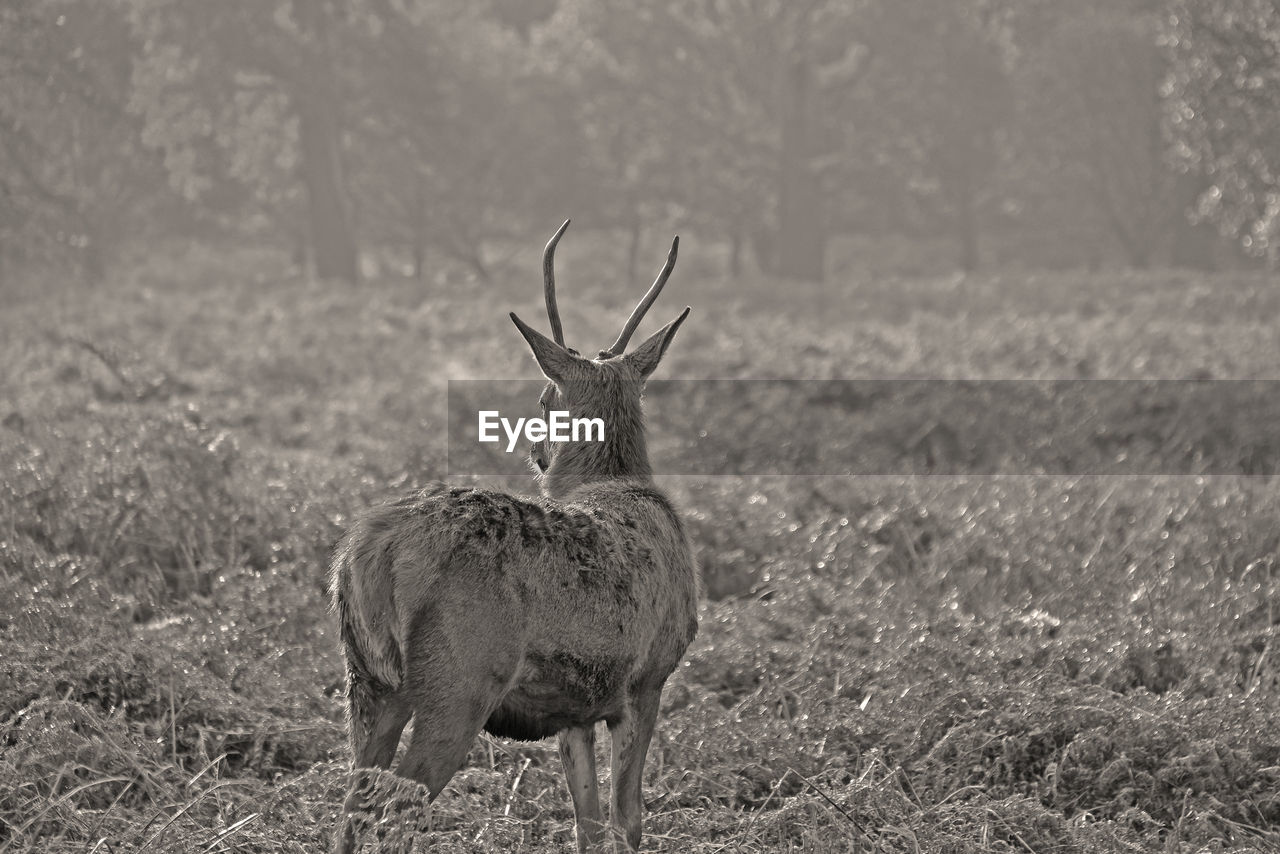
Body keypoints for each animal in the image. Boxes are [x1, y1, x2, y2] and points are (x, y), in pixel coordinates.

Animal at [330, 222, 701, 854]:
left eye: (546, 400)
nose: (535, 450)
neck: (621, 482)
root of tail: (369, 549)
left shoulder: (575, 709)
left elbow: (588, 823)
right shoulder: (647, 678)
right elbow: (628, 820)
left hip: (370, 679)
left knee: (349, 806)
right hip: (459, 680)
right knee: (392, 806)